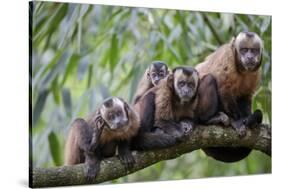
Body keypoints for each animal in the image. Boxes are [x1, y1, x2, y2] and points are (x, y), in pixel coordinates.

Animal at [196, 31, 264, 162]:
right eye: (244, 50)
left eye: (253, 51)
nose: (249, 57)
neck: (242, 70)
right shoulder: (228, 58)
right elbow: (224, 89)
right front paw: (236, 121)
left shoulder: (256, 72)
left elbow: (245, 96)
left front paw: (247, 118)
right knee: (210, 79)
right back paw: (209, 119)